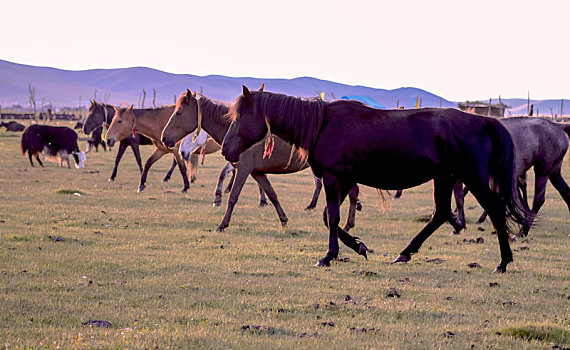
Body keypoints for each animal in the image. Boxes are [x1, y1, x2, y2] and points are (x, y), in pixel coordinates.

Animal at [220, 86, 532, 272]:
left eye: (239, 117)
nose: (225, 150)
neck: (322, 124)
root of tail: (482, 121)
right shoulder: (344, 180)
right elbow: (329, 218)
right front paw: (359, 247)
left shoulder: (334, 179)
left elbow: (333, 218)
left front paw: (329, 256)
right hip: (444, 178)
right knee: (441, 213)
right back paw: (405, 253)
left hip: (472, 179)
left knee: (493, 210)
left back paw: (504, 261)